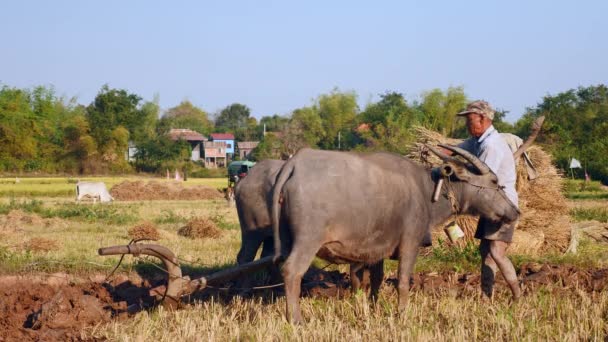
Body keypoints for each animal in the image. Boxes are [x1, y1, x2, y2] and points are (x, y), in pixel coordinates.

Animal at [274, 147, 520, 324]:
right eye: (494, 182)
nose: (515, 211)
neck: (425, 190)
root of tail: (295, 163)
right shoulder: (410, 243)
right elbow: (402, 281)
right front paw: (402, 314)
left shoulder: (376, 250)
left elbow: (374, 280)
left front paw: (372, 309)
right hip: (307, 242)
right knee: (292, 271)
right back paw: (295, 319)